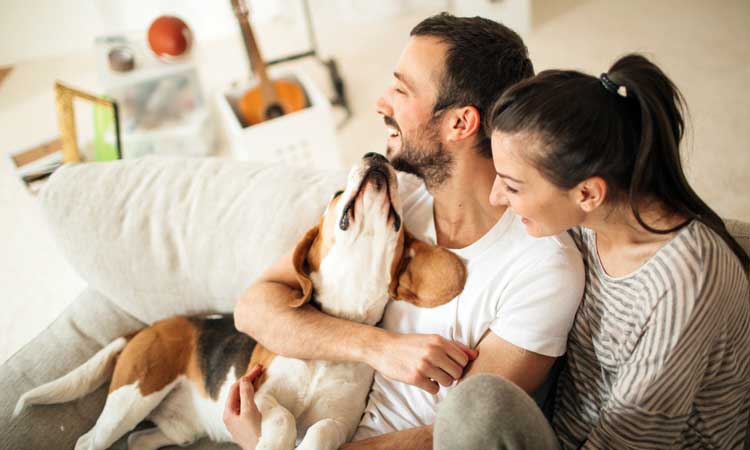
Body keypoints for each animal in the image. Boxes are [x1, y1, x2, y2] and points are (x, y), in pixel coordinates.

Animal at [13, 153, 464, 448]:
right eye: (338, 192)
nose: (376, 155)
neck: (334, 330)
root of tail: (148, 328)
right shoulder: (254, 390)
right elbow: (282, 416)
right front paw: (274, 442)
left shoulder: (339, 421)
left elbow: (318, 430)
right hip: (133, 395)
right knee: (89, 441)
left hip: (175, 428)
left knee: (139, 442)